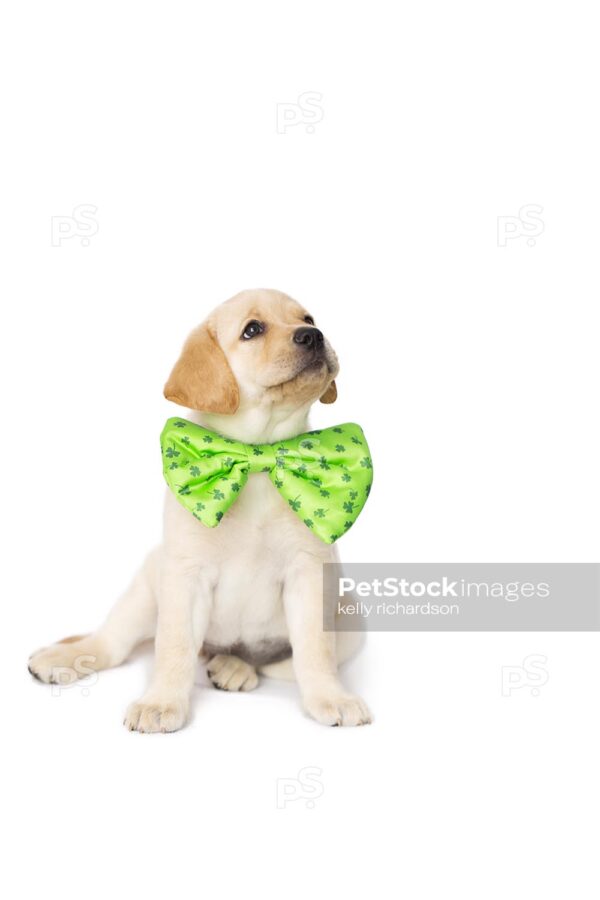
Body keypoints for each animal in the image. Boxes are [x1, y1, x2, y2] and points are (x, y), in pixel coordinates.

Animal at [31, 288, 376, 732]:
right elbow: (174, 647)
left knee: (274, 663)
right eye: (252, 330)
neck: (257, 460)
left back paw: (234, 666)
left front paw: (330, 697)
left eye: (308, 318)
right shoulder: (186, 576)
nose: (314, 336)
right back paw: (65, 657)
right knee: (112, 644)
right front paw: (162, 703)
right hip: (146, 588)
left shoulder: (309, 574)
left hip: (350, 619)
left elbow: (315, 651)